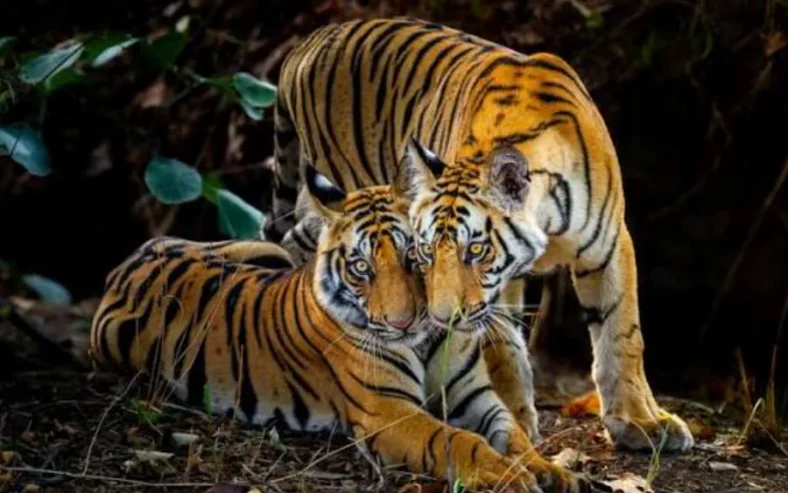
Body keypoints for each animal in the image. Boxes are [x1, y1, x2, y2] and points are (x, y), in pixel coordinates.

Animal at [88, 166, 587, 493]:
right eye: (361, 267)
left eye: (413, 255)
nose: (401, 322)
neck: (426, 340)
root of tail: (129, 260)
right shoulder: (389, 410)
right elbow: (455, 440)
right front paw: (507, 476)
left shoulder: (475, 396)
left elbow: (513, 433)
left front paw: (550, 470)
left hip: (266, 250)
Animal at [262, 17, 695, 453]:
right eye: (424, 252)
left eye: (475, 249)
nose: (442, 319)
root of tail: (309, 41)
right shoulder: (500, 288)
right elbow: (502, 347)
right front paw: (516, 419)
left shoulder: (607, 245)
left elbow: (621, 332)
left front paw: (640, 421)